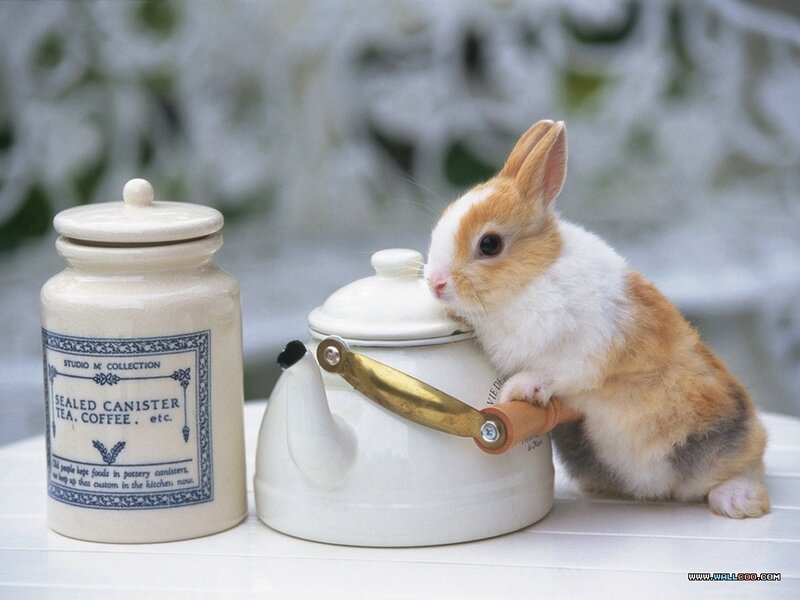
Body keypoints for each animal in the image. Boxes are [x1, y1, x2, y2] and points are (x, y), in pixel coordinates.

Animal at [425, 119, 769, 518]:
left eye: (490, 244)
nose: (435, 283)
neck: (533, 279)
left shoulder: (580, 353)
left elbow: (554, 375)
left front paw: (517, 389)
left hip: (715, 433)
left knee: (748, 462)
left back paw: (737, 501)